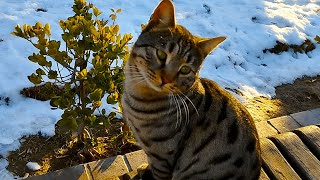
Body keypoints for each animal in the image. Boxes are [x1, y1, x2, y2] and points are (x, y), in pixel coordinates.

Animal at [121, 0, 262, 179]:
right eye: (161, 54)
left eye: (185, 69)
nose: (166, 80)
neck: (136, 92)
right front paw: (145, 168)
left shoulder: (162, 159)